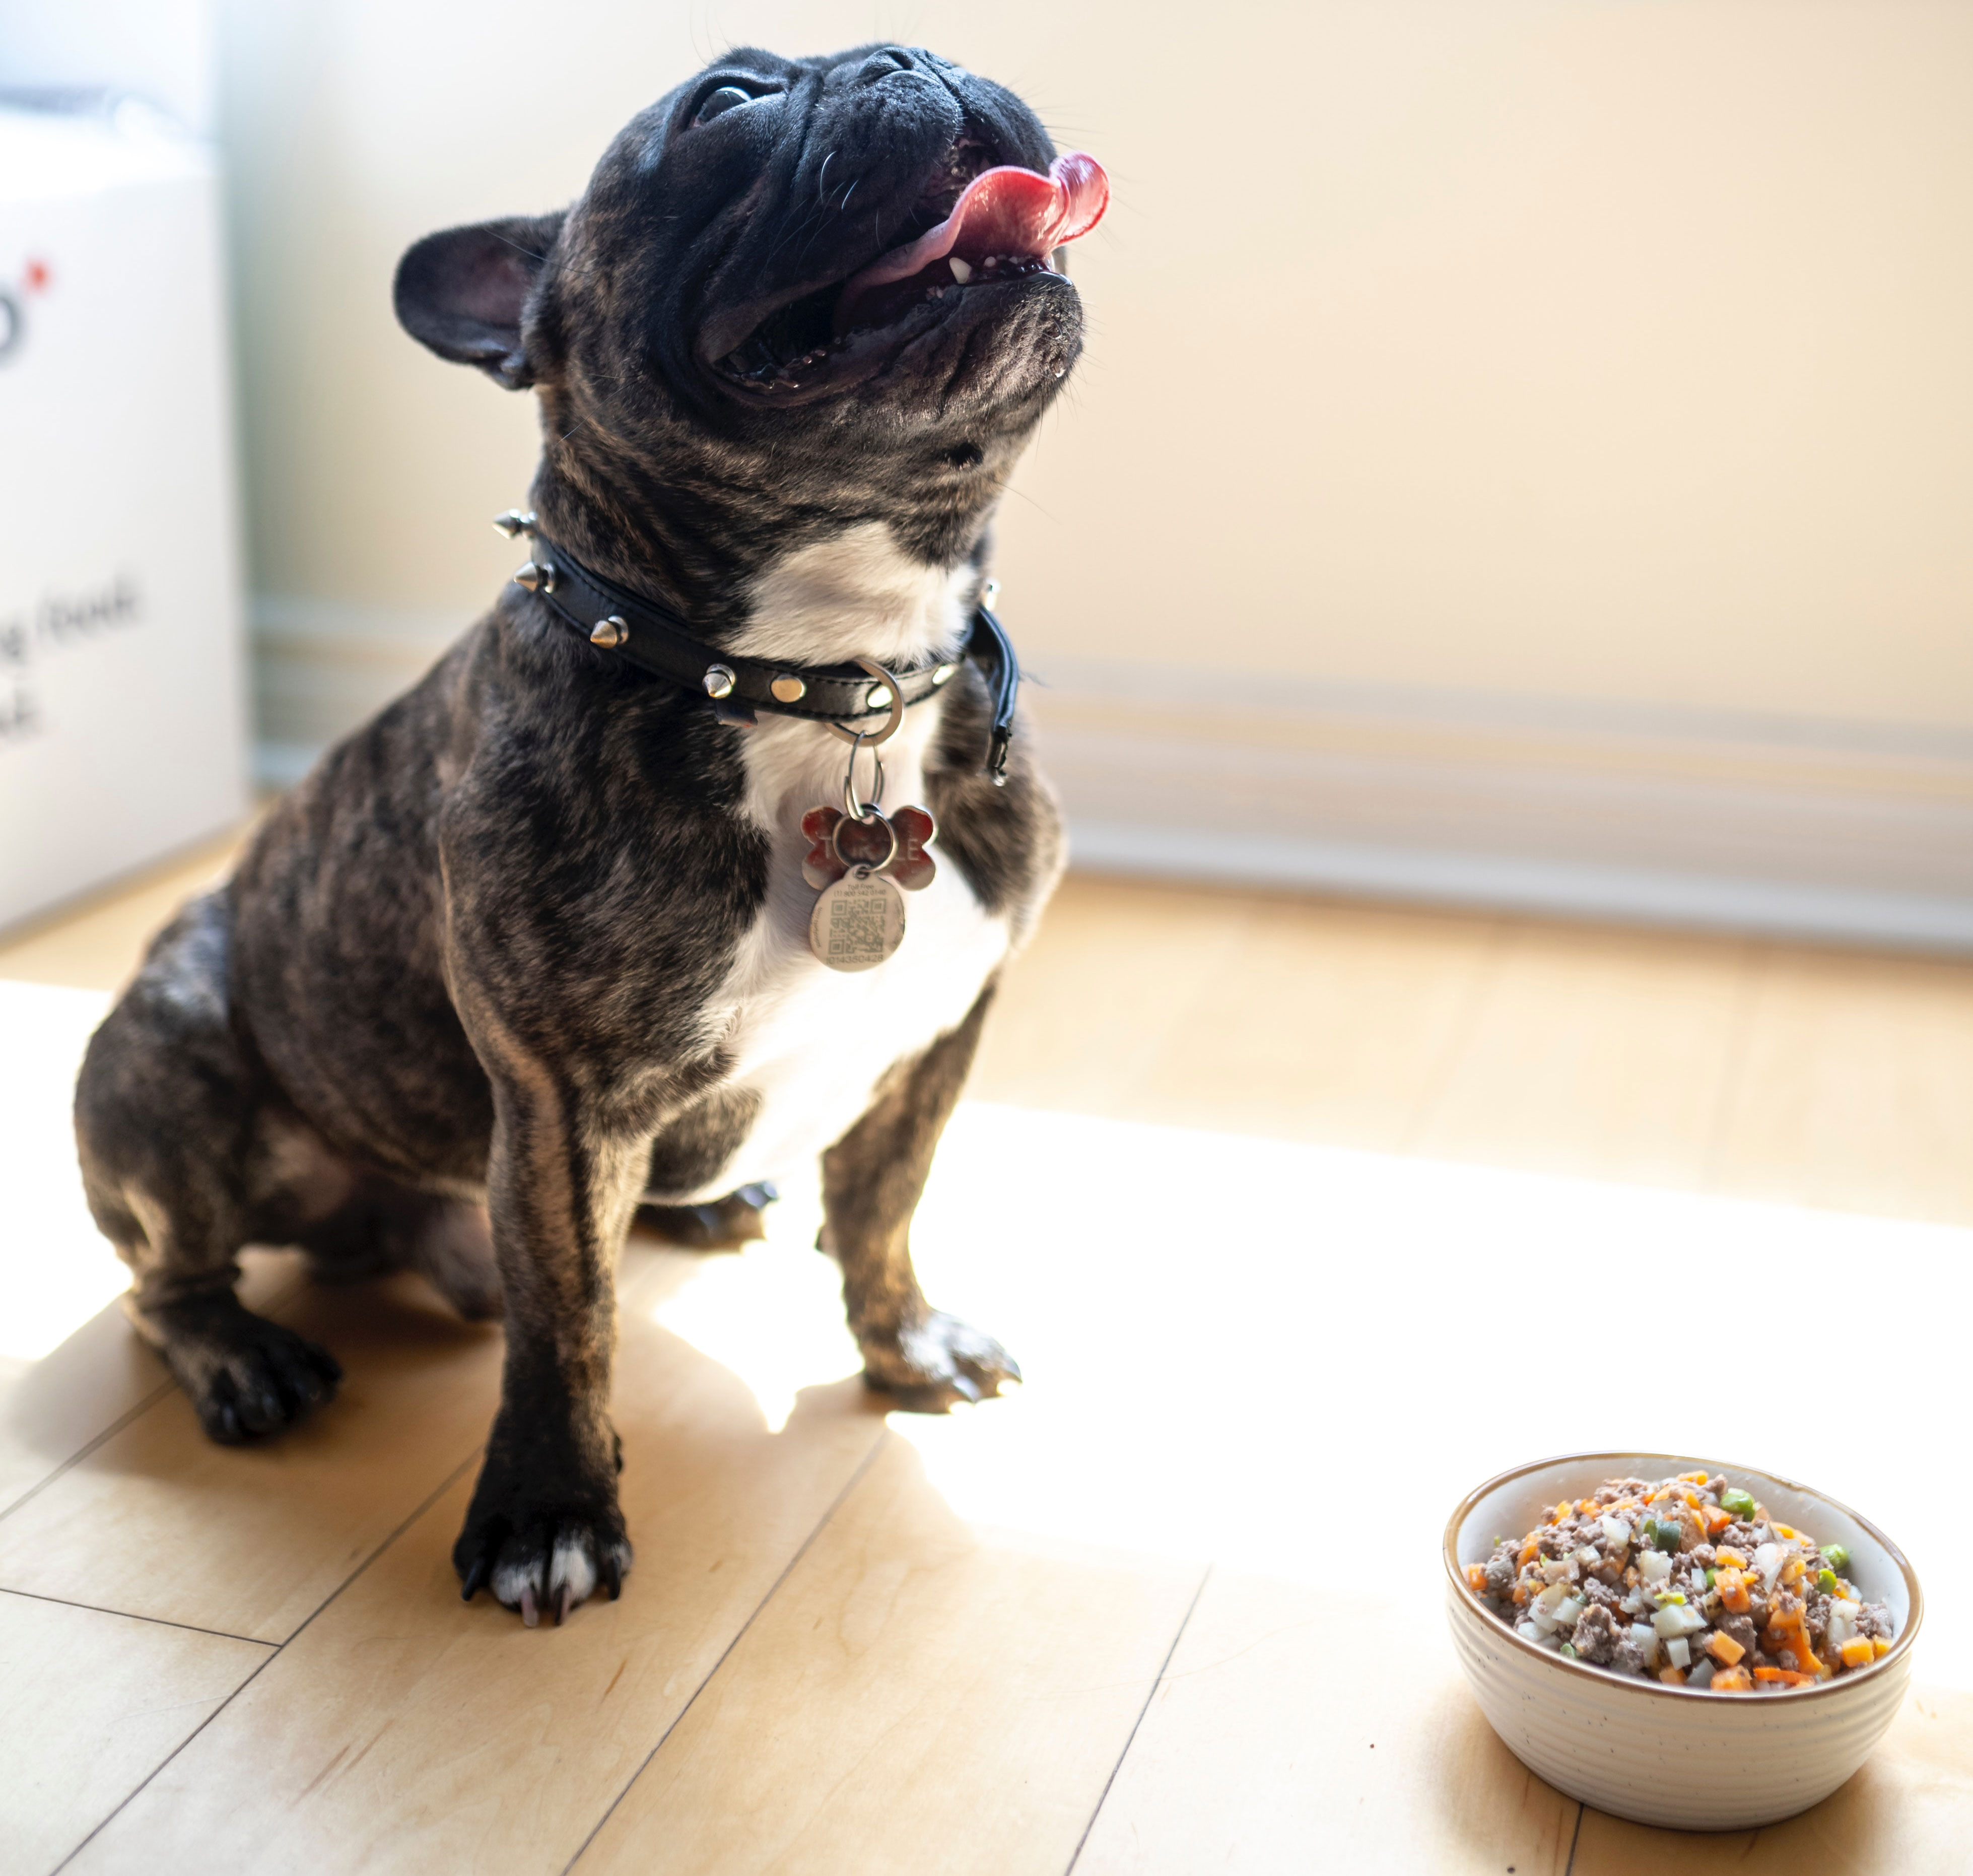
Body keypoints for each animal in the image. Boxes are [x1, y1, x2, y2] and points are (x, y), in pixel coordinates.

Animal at [70, 44, 1105, 1625]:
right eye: (725, 104)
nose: (909, 59)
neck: (829, 676)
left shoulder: (939, 1033)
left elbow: (884, 1203)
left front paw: (901, 1342)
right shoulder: (558, 1105)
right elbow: (567, 1326)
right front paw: (547, 1511)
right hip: (167, 1060)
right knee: (163, 1279)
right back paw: (243, 1355)